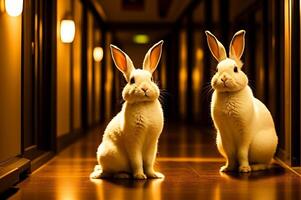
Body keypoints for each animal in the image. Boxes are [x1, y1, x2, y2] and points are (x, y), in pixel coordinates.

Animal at [89, 39, 164, 179]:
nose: (144, 89)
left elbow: (149, 162)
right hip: (108, 156)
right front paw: (140, 176)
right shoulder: (133, 142)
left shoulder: (153, 143)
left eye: (151, 79)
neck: (143, 103)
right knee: (108, 172)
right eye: (132, 80)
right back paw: (121, 175)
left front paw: (153, 175)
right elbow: (137, 161)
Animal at [205, 30, 278, 173]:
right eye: (217, 70)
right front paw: (227, 168)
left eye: (235, 69)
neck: (229, 94)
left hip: (261, 146)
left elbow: (242, 153)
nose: (223, 78)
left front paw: (244, 169)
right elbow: (230, 154)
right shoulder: (224, 134)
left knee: (265, 163)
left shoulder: (245, 133)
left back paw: (254, 167)